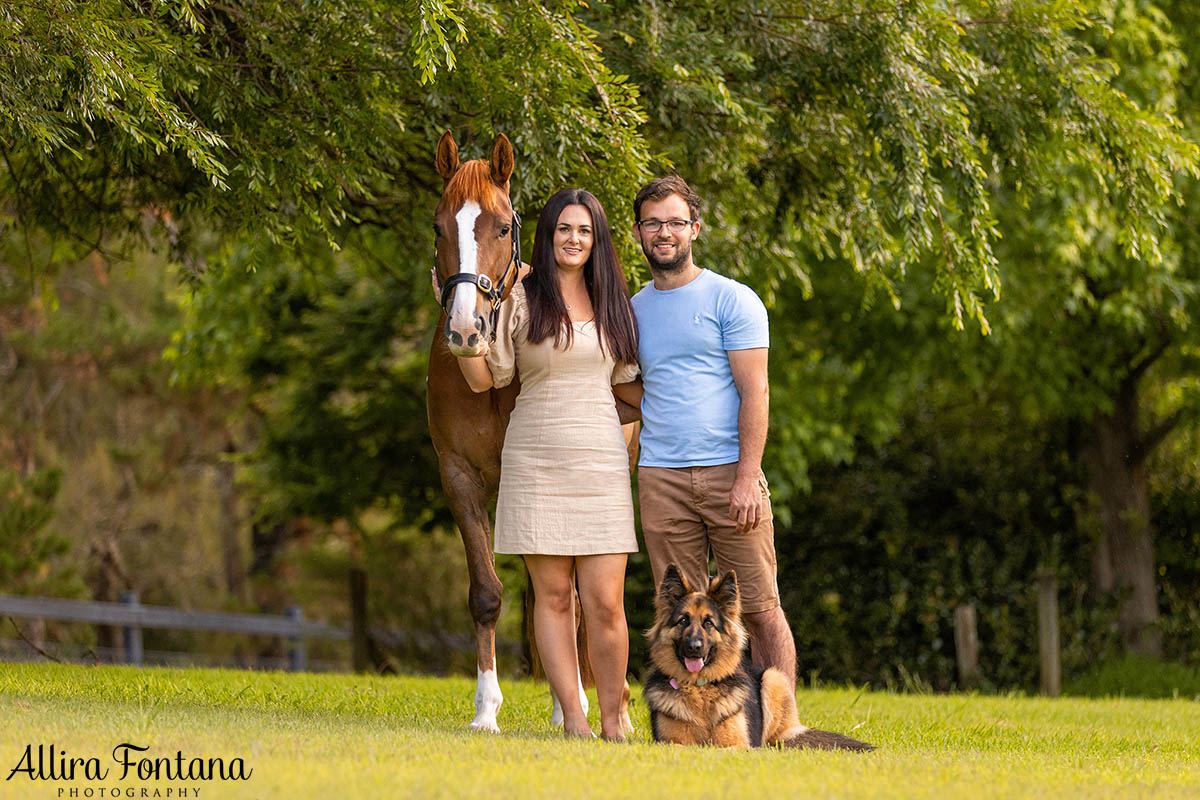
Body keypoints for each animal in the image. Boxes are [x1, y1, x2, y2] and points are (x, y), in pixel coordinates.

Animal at [648, 566, 873, 748]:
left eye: (708, 623)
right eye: (683, 621)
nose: (694, 648)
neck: (699, 689)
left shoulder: (738, 743)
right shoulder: (671, 743)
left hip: (773, 678)